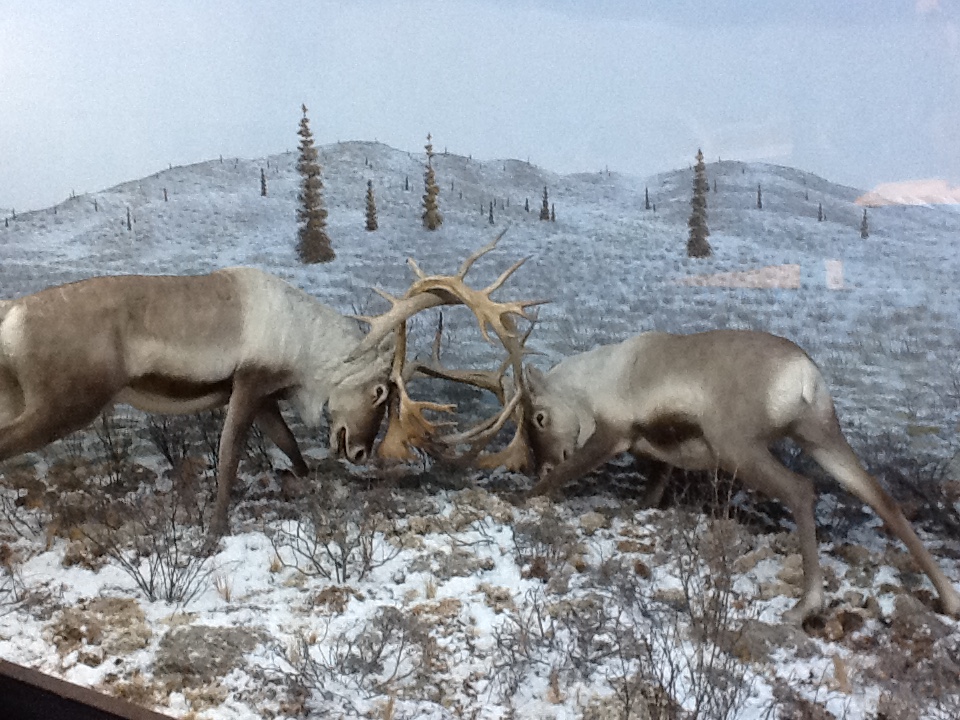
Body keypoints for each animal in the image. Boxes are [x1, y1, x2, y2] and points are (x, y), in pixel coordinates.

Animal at [0, 237, 540, 544]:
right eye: (380, 392)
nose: (360, 451)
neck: (304, 342)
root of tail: (11, 316)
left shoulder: (263, 398)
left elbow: (288, 445)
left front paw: (309, 483)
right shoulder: (248, 383)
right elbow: (230, 454)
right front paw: (213, 533)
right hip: (65, 404)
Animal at [514, 329, 960, 623]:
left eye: (539, 417)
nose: (545, 461)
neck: (597, 377)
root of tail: (803, 376)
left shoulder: (612, 434)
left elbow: (567, 474)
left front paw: (531, 493)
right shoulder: (659, 452)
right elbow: (654, 488)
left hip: (736, 448)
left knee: (801, 490)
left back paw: (804, 606)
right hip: (819, 436)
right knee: (879, 497)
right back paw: (949, 600)